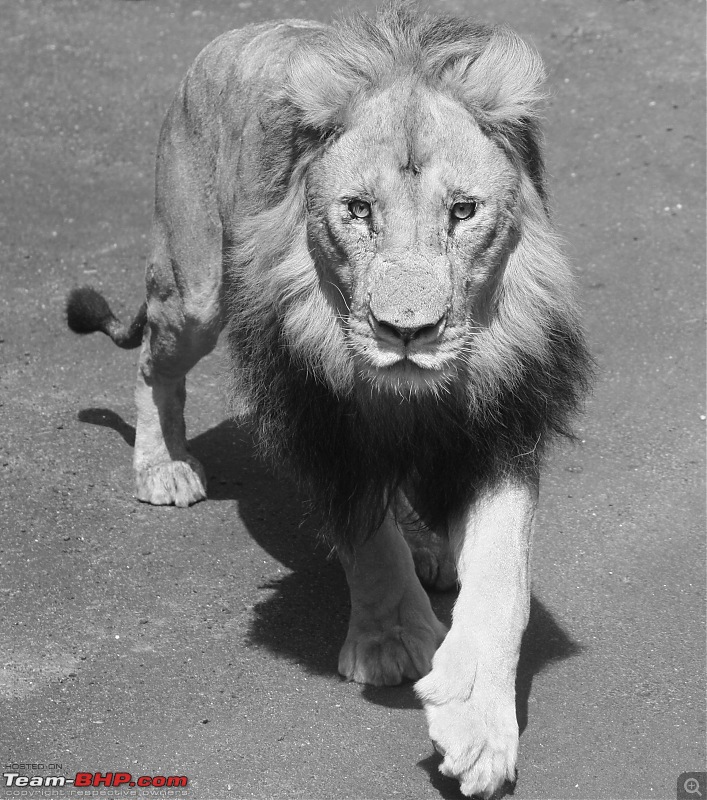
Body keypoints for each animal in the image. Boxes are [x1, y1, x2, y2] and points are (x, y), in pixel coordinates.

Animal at [69, 4, 592, 792]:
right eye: (358, 210)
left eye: (463, 211)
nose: (406, 331)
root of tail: (231, 38)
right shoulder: (325, 424)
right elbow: (366, 539)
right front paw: (393, 641)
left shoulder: (498, 423)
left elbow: (503, 574)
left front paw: (477, 726)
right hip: (197, 290)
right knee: (154, 362)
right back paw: (162, 466)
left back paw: (430, 547)